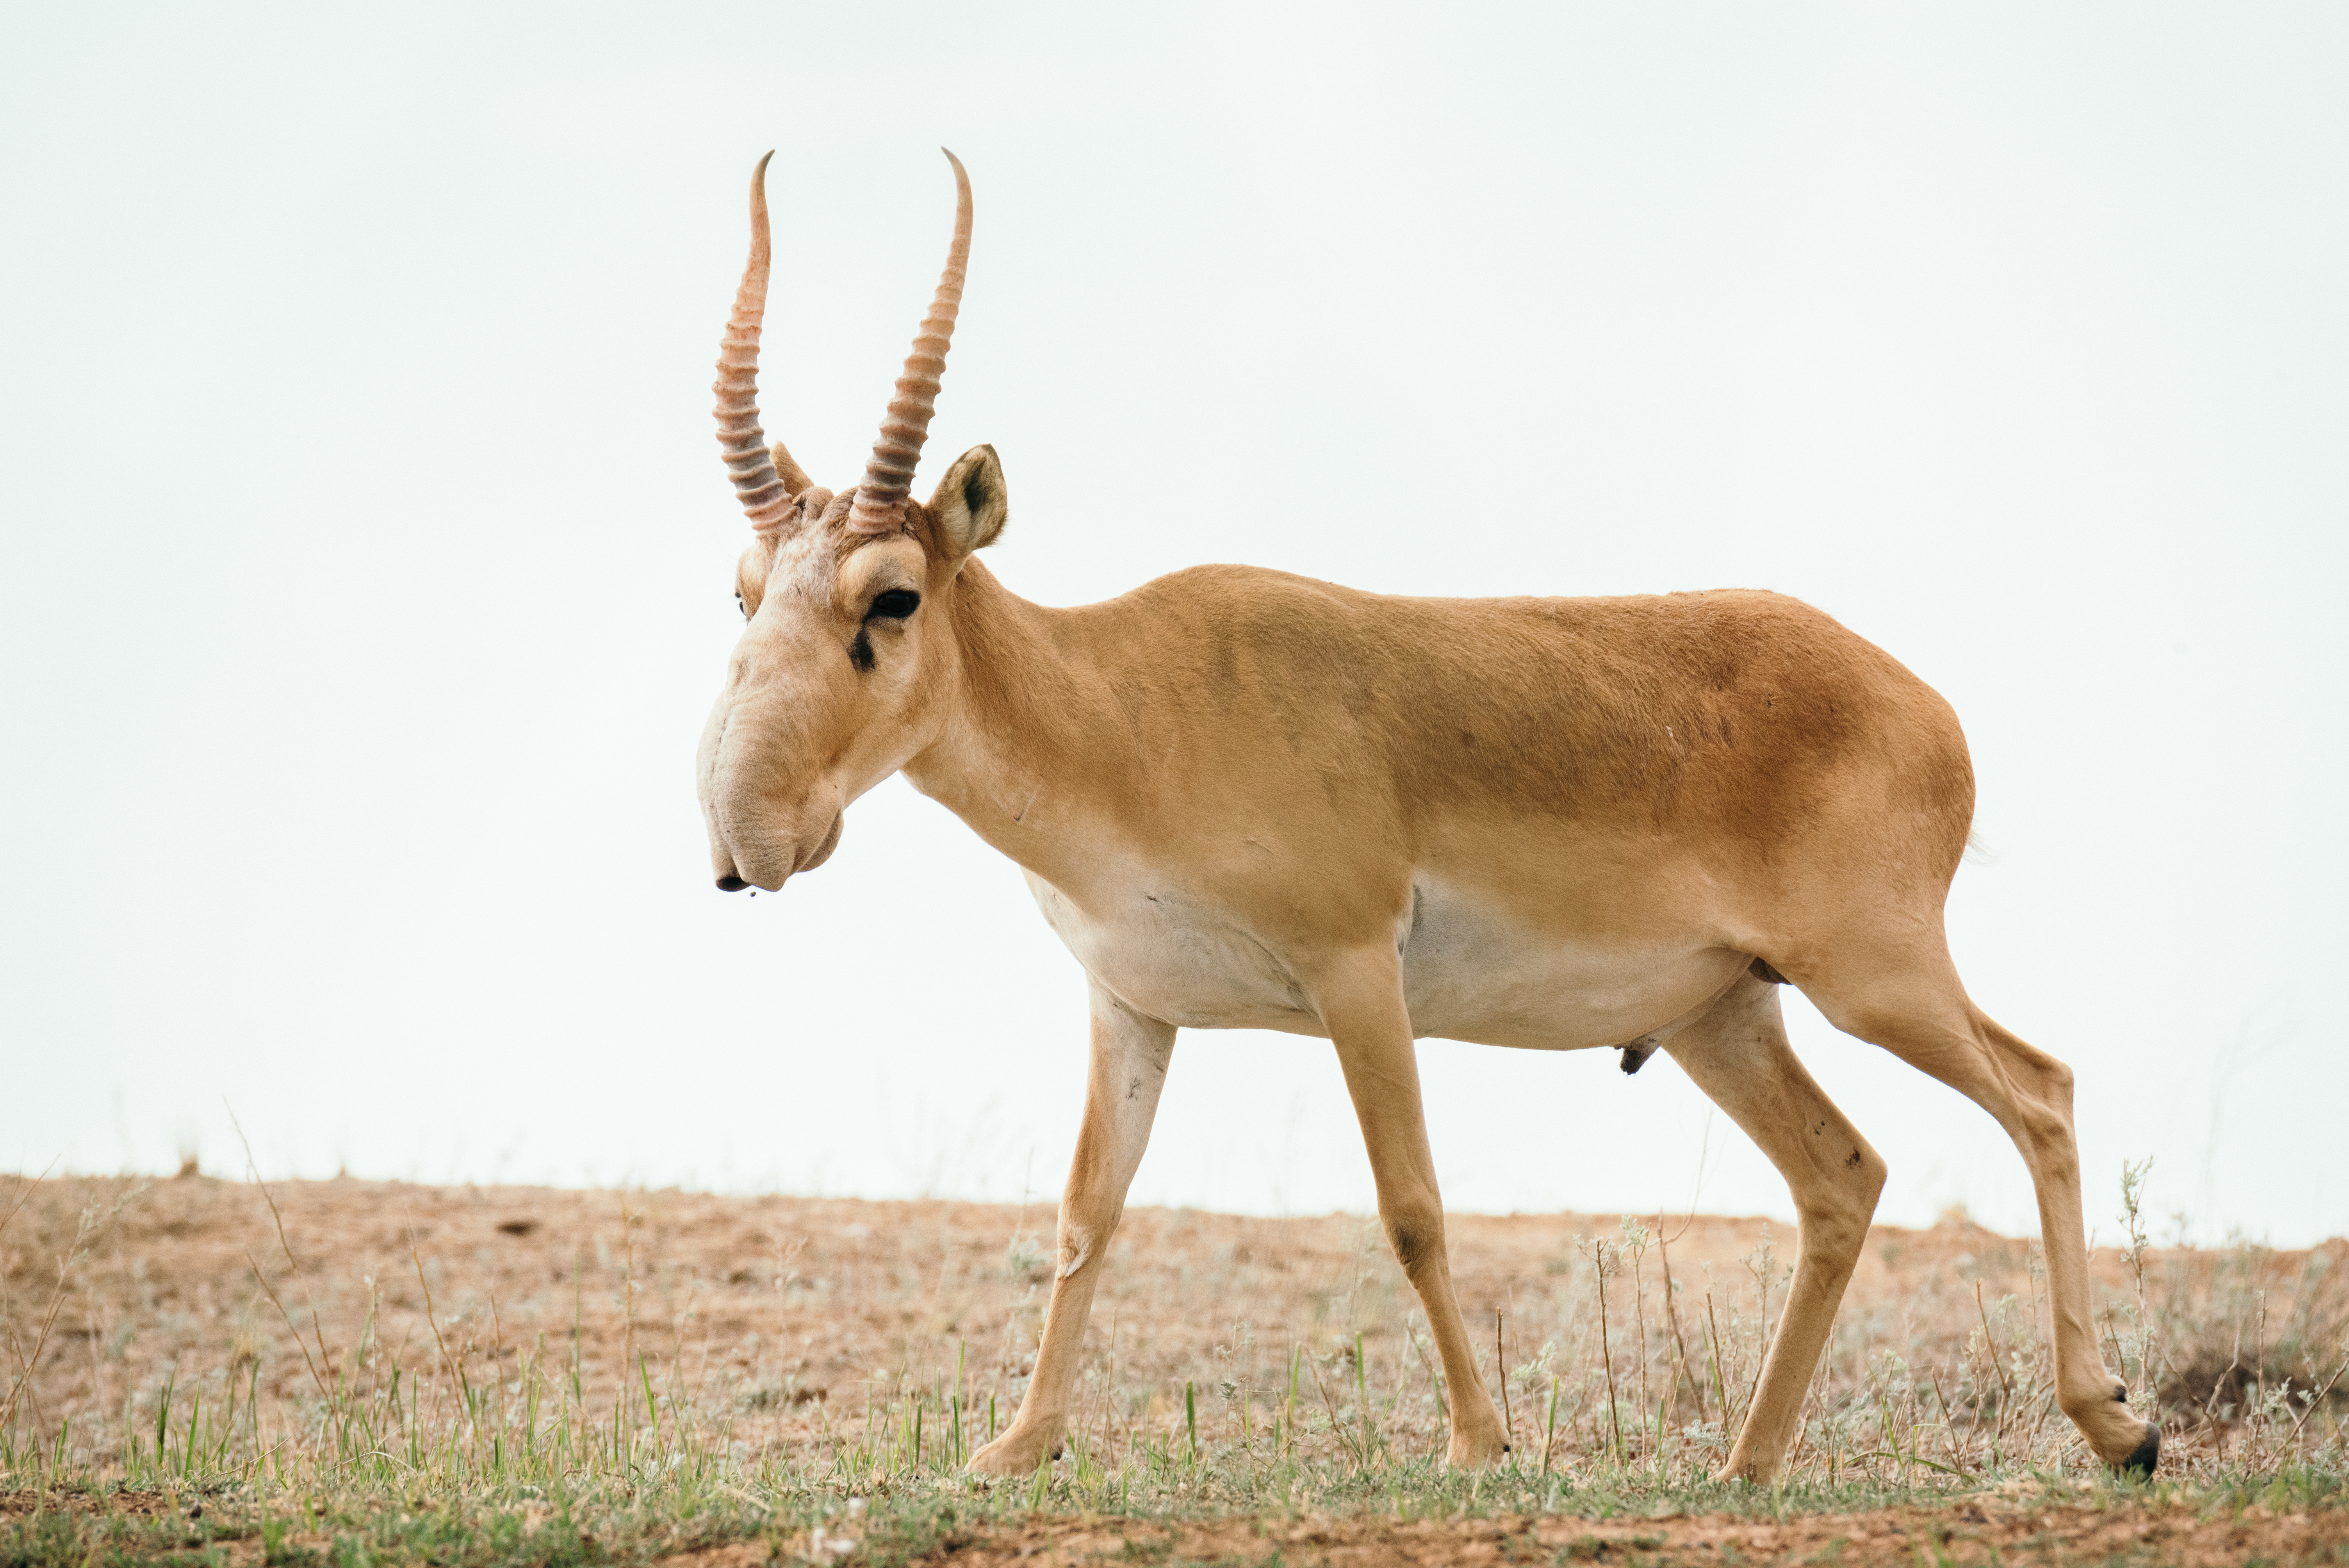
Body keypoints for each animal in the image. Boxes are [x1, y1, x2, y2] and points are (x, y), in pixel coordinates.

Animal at [695, 156, 2161, 1483]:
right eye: (746, 586)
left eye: (892, 596)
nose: (745, 839)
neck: (1122, 705)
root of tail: (1926, 707)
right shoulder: (1132, 1005)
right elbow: (1084, 1214)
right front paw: (1012, 1448)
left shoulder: (1353, 973)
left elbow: (1410, 1208)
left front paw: (1477, 1443)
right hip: (1723, 1014)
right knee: (1841, 1174)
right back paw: (1746, 1466)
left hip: (1870, 979)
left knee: (2039, 1094)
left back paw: (2118, 1427)